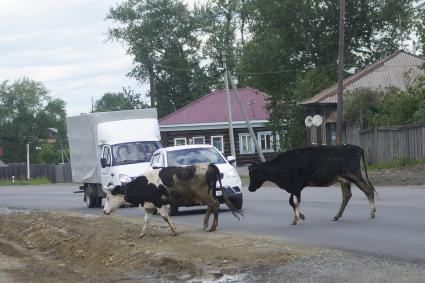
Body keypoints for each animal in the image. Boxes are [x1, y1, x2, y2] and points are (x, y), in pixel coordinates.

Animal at [247, 145, 376, 225]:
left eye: (253, 174)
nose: (249, 188)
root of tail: (357, 148)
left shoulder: (296, 186)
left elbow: (295, 202)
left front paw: (296, 219)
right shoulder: (294, 188)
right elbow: (291, 202)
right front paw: (301, 216)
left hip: (354, 175)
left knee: (368, 190)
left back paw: (372, 213)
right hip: (344, 179)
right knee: (347, 196)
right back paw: (336, 216)